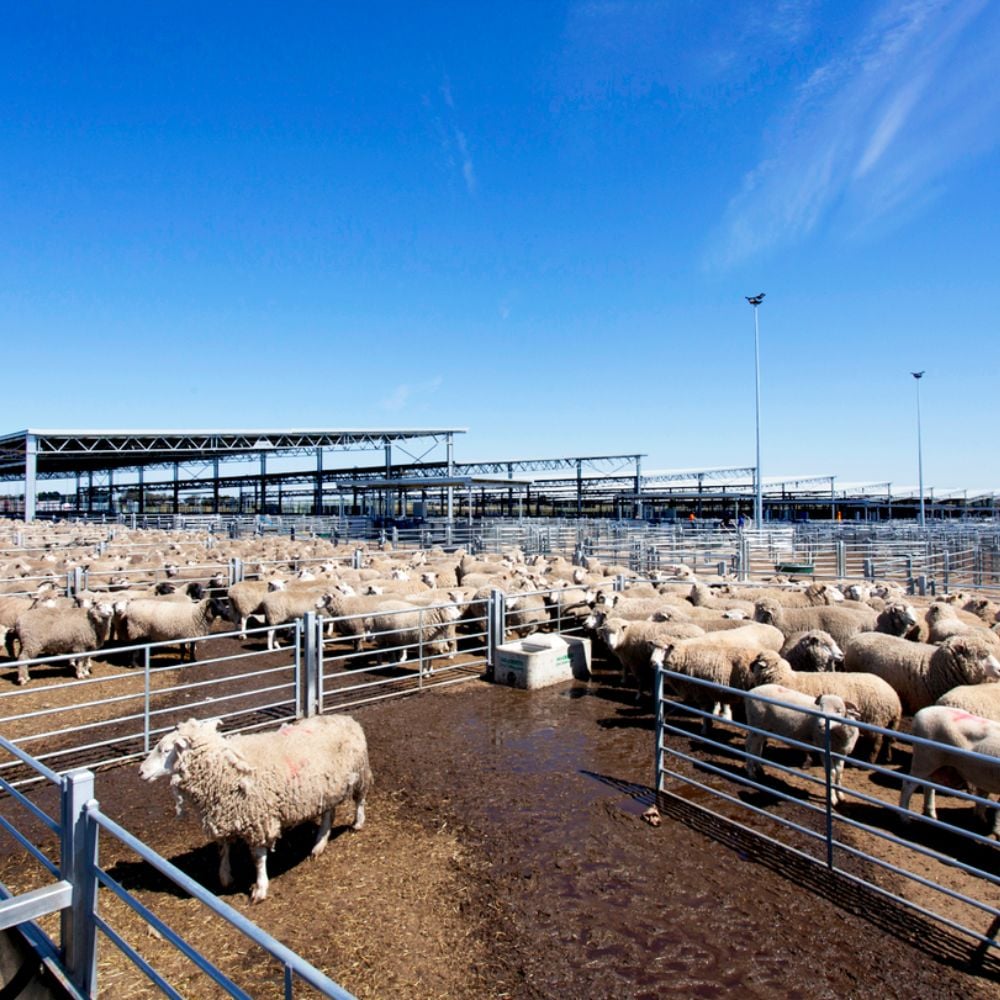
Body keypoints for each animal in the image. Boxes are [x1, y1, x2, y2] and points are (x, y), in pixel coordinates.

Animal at [139, 716, 374, 904]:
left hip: (360, 774)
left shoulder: (259, 819)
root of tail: (346, 718)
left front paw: (260, 888)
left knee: (360, 800)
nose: (140, 772)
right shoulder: (224, 814)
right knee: (329, 815)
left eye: (165, 750)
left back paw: (357, 823)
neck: (222, 769)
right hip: (327, 788)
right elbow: (223, 847)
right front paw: (225, 876)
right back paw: (318, 845)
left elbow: (258, 858)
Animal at [752, 644, 908, 760]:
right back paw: (887, 757)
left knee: (877, 742)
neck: (786, 678)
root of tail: (895, 699)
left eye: (757, 660)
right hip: (888, 723)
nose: (749, 665)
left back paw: (869, 760)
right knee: (888, 740)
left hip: (876, 720)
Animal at [900, 708, 1000, 840]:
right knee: (908, 785)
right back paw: (904, 818)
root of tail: (920, 713)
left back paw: (931, 814)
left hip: (933, 762)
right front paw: (996, 831)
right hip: (925, 759)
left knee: (928, 785)